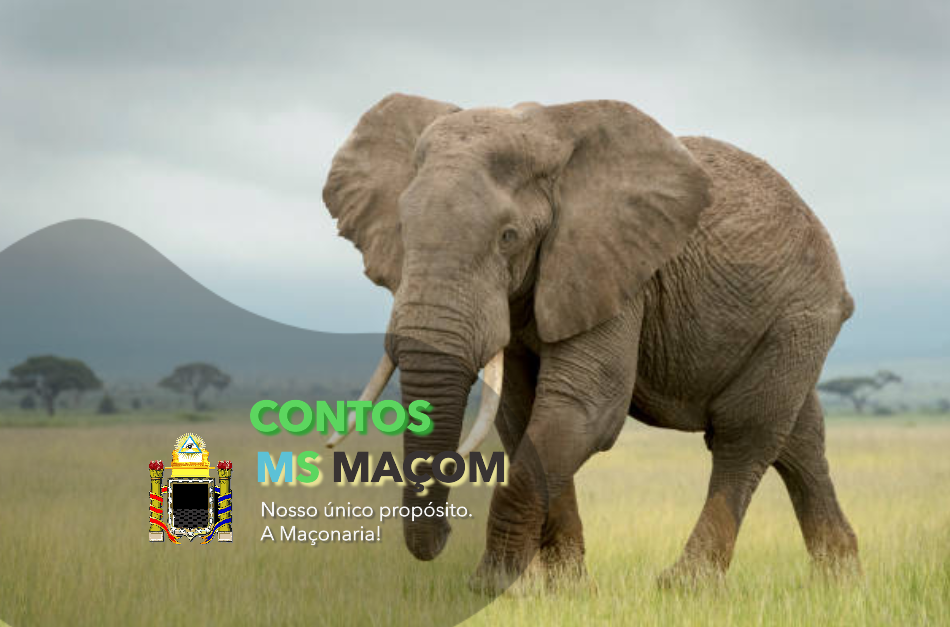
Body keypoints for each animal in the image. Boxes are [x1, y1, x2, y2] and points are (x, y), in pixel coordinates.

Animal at [321, 93, 860, 590]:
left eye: (508, 237)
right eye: (402, 230)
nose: (448, 533)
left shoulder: (614, 268)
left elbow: (584, 407)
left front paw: (494, 587)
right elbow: (521, 414)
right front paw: (563, 588)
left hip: (801, 313)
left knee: (744, 432)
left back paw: (686, 585)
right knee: (798, 439)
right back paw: (840, 579)